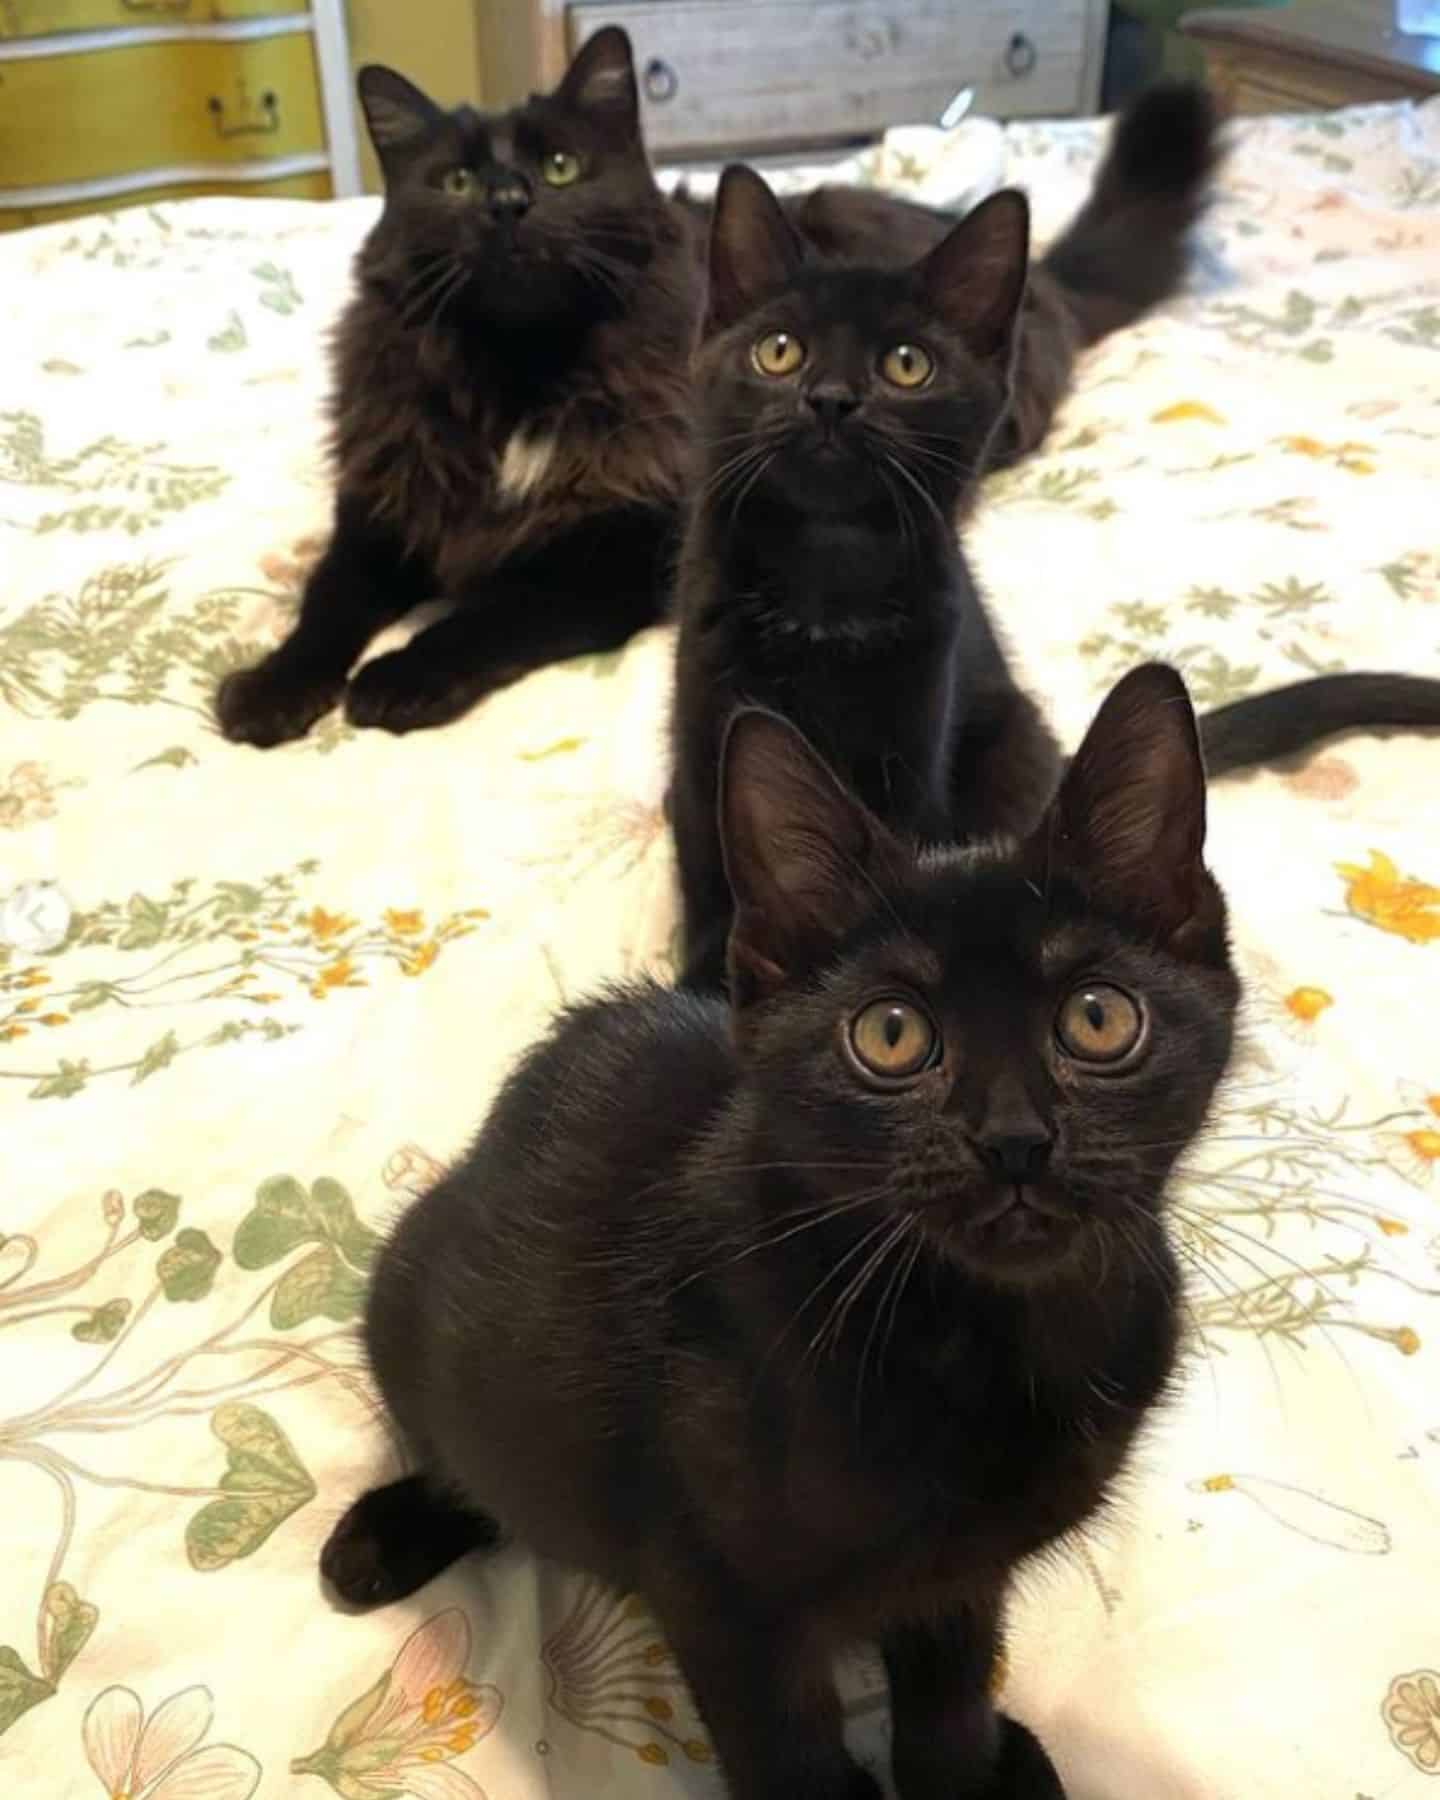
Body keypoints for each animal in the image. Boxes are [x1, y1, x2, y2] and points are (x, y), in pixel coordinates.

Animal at [320, 666, 1245, 1800]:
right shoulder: (719, 1598)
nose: (1014, 1139)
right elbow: (786, 1751)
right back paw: (381, 1536)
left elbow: (950, 1688)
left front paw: (967, 1771)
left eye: (1099, 1020)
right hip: (413, 1306)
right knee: (469, 1455)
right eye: (890, 1036)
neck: (993, 1341)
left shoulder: (961, 1576)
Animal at [669, 165, 1440, 986]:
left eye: (907, 365)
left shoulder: (915, 735)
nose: (831, 400)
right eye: (778, 351)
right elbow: (712, 855)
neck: (829, 567)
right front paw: (702, 976)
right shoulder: (704, 713)